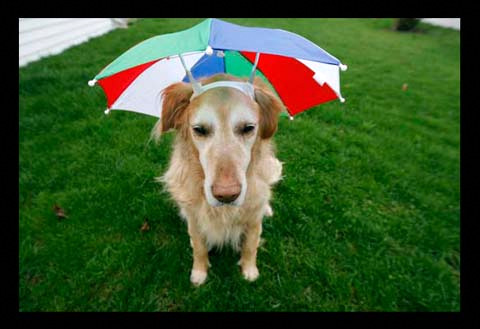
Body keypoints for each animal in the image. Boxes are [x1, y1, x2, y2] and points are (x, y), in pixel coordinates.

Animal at [152, 73, 284, 284]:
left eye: (248, 128)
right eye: (199, 129)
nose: (227, 195)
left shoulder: (254, 220)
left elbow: (250, 245)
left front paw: (250, 271)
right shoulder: (195, 221)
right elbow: (199, 248)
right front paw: (199, 273)